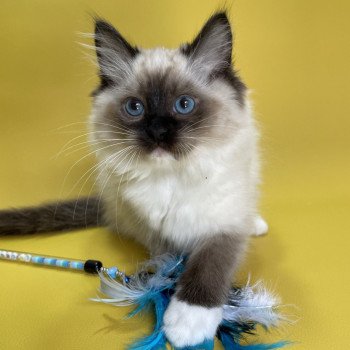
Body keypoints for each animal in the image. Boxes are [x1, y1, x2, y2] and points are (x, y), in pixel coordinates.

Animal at [0, 11, 268, 348]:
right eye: (134, 108)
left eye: (184, 105)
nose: (158, 131)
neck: (172, 179)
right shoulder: (156, 230)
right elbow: (169, 260)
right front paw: (166, 286)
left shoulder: (223, 225)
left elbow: (208, 267)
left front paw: (187, 323)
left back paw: (256, 224)